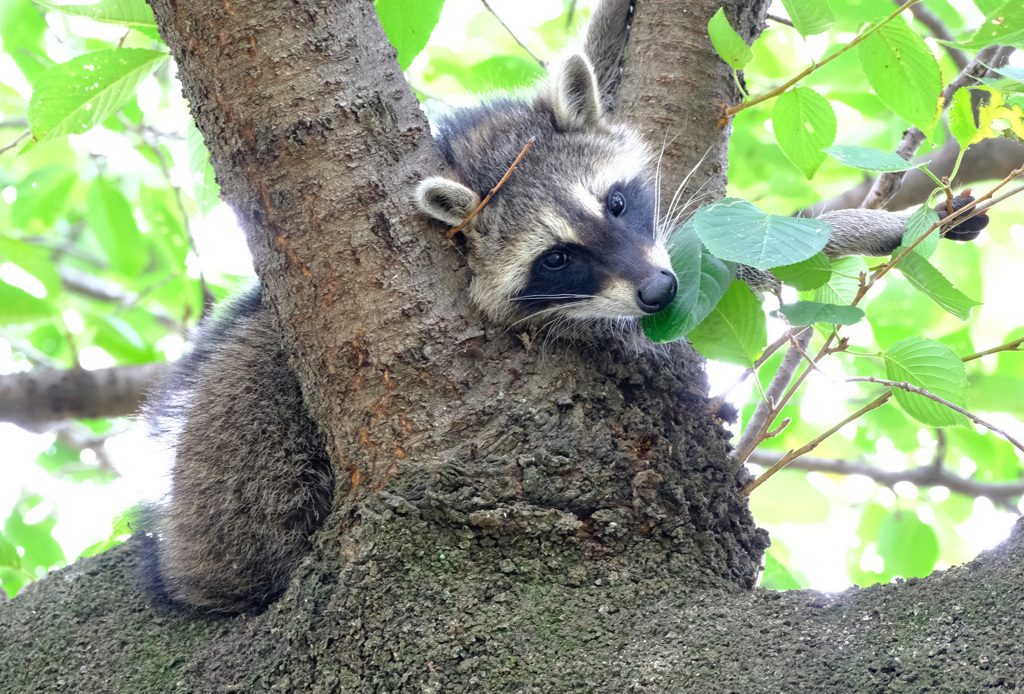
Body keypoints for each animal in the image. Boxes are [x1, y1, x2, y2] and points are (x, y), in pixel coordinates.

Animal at [142, 29, 983, 614]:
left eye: (615, 202)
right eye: (556, 259)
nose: (656, 291)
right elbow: (708, 273)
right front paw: (861, 227)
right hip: (252, 458)